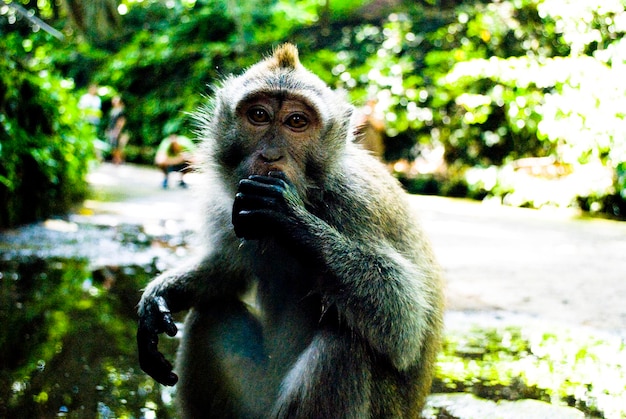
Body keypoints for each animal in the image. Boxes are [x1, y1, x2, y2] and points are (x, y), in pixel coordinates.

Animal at [135, 44, 444, 418]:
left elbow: (404, 324)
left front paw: (290, 217)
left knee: (346, 343)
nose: (270, 156)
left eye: (297, 121)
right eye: (258, 115)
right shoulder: (227, 205)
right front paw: (160, 296)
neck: (314, 191)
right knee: (211, 311)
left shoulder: (356, 203)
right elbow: (228, 270)